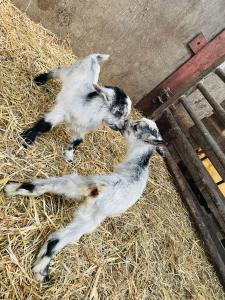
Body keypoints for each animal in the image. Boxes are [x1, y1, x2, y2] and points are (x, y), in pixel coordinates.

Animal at [4, 118, 164, 284]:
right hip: (91, 217)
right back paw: (41, 272)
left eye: (136, 127)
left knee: (43, 188)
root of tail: (104, 188)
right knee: (58, 239)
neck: (139, 166)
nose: (125, 123)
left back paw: (11, 188)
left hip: (79, 185)